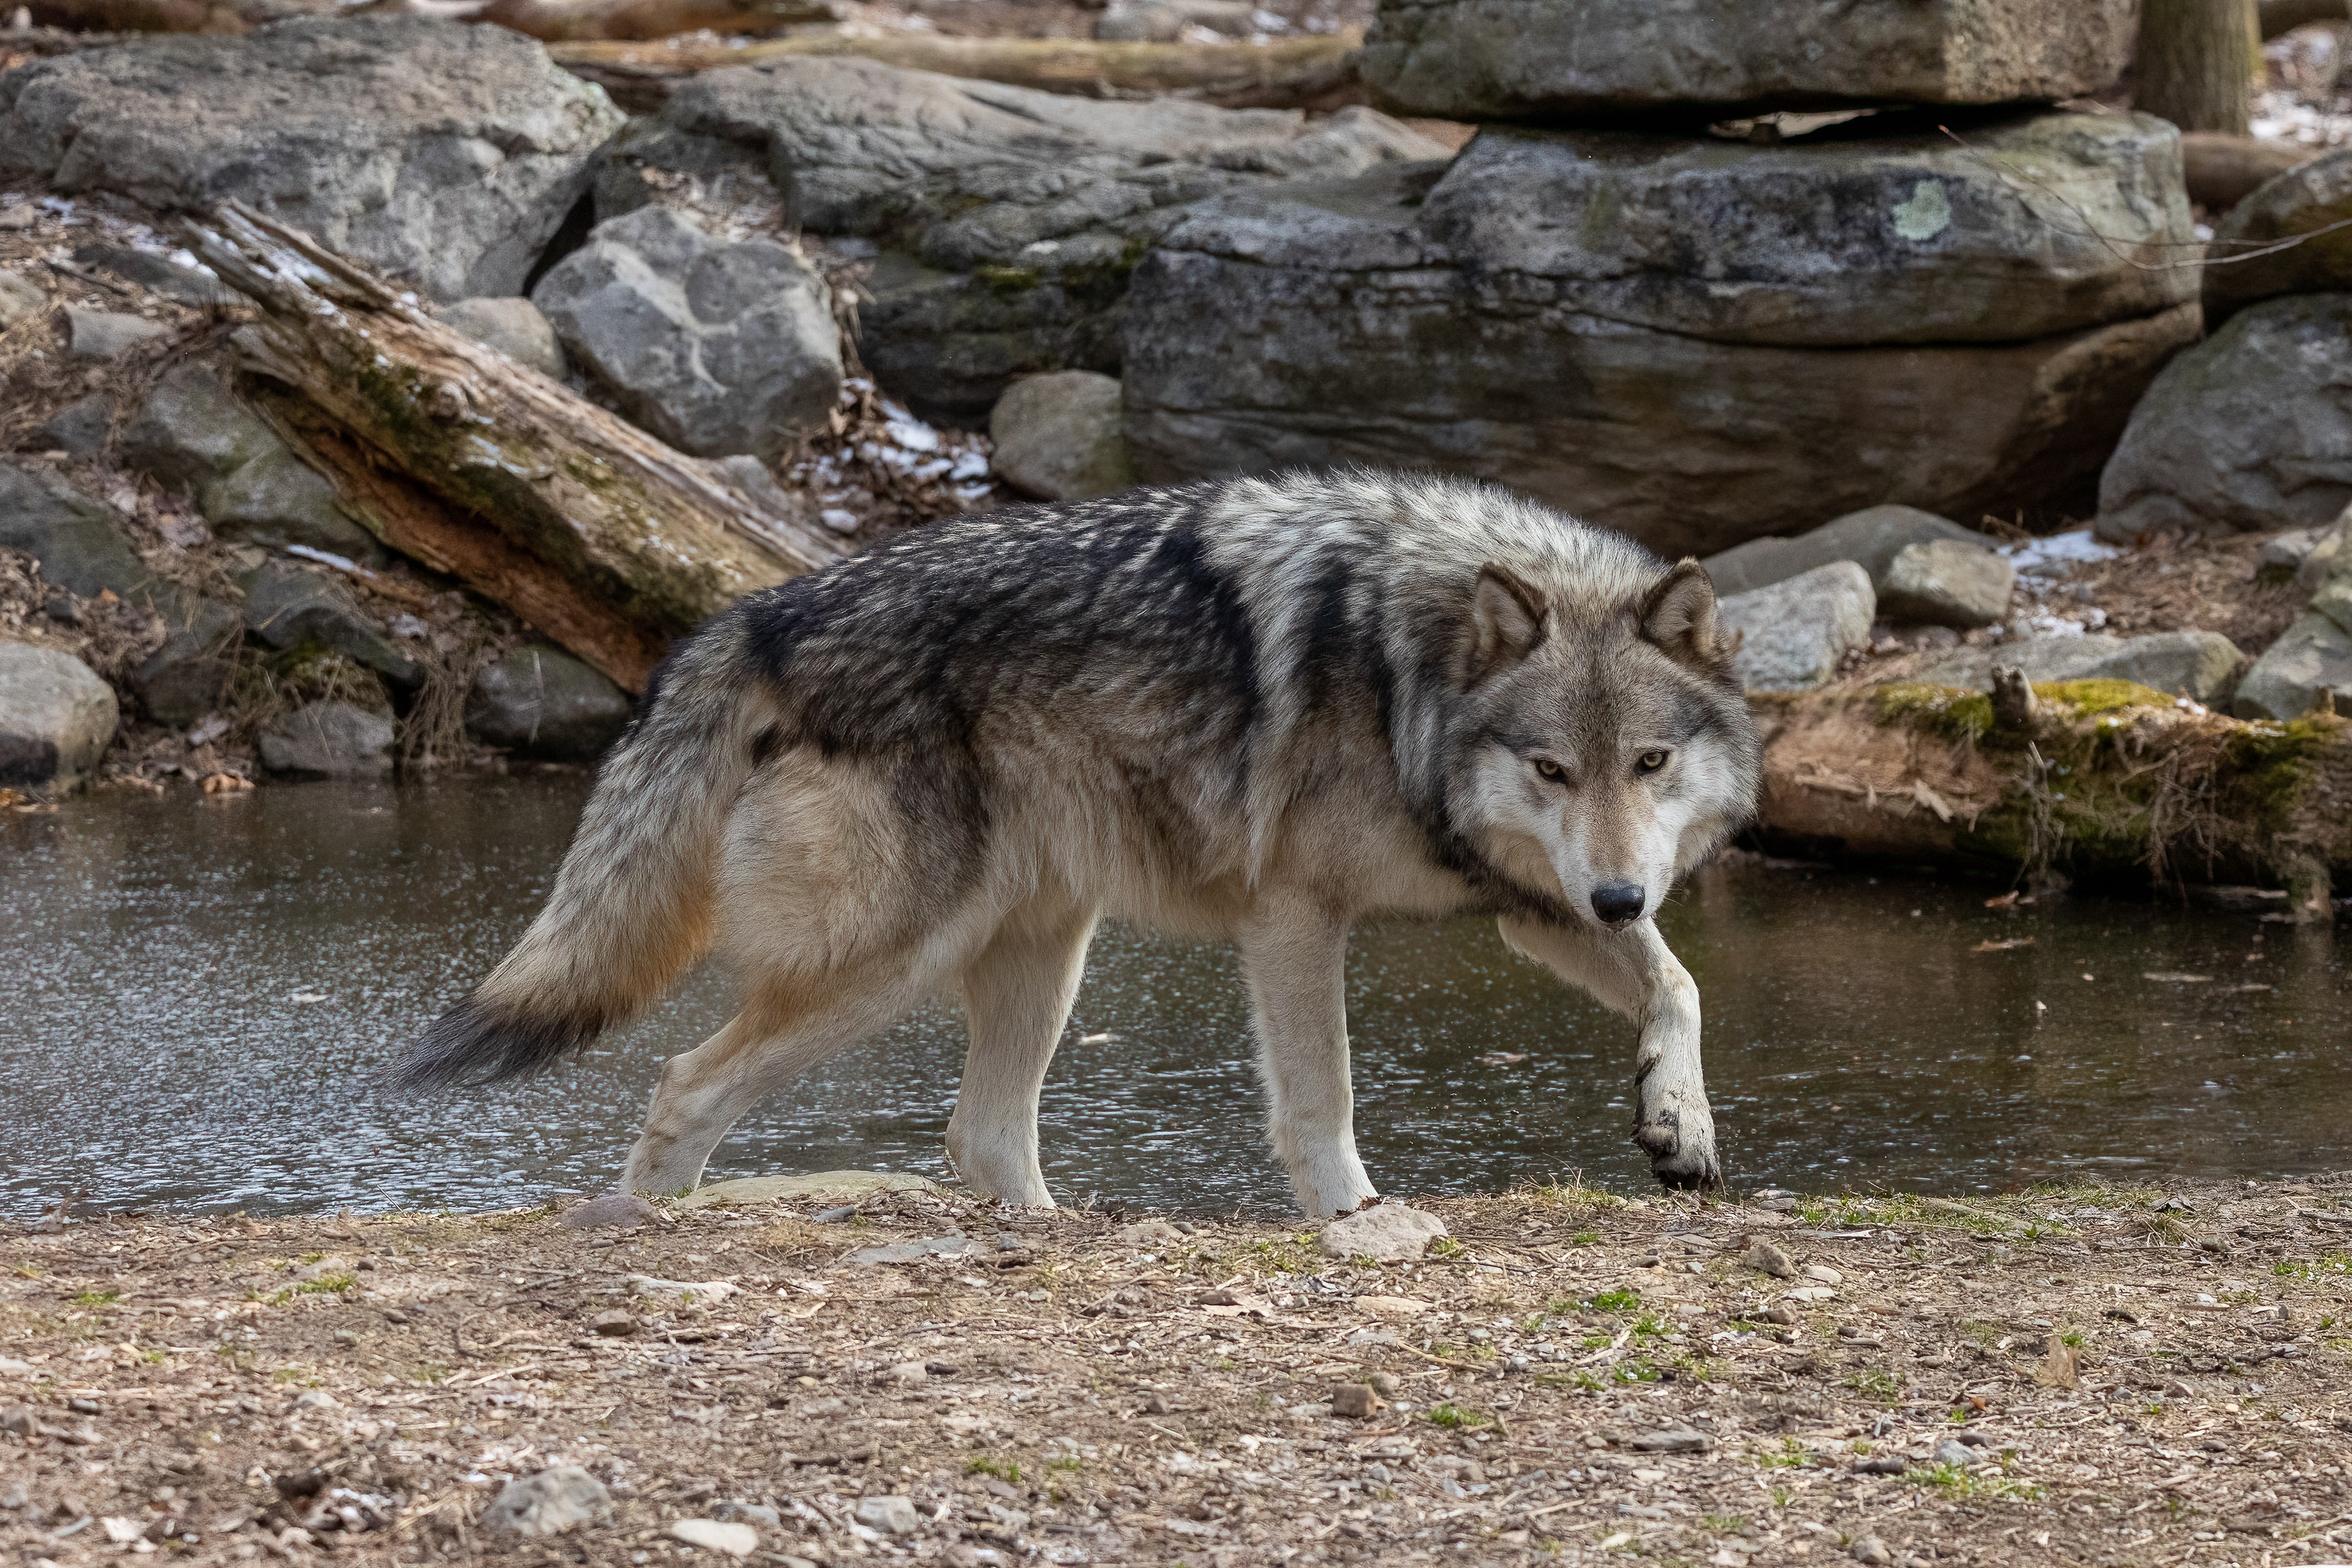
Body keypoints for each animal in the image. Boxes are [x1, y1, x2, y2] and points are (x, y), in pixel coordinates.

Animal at [393, 471, 1761, 1216]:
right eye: (1551, 769)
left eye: (1648, 765)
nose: (1621, 892)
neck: (1401, 668)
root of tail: (755, 613)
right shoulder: (1295, 917)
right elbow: (1323, 1097)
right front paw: (1355, 1217)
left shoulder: (1531, 903)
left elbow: (1683, 983)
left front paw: (1678, 1123)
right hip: (886, 966)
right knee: (686, 1084)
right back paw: (641, 1223)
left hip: (1047, 958)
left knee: (981, 1135)